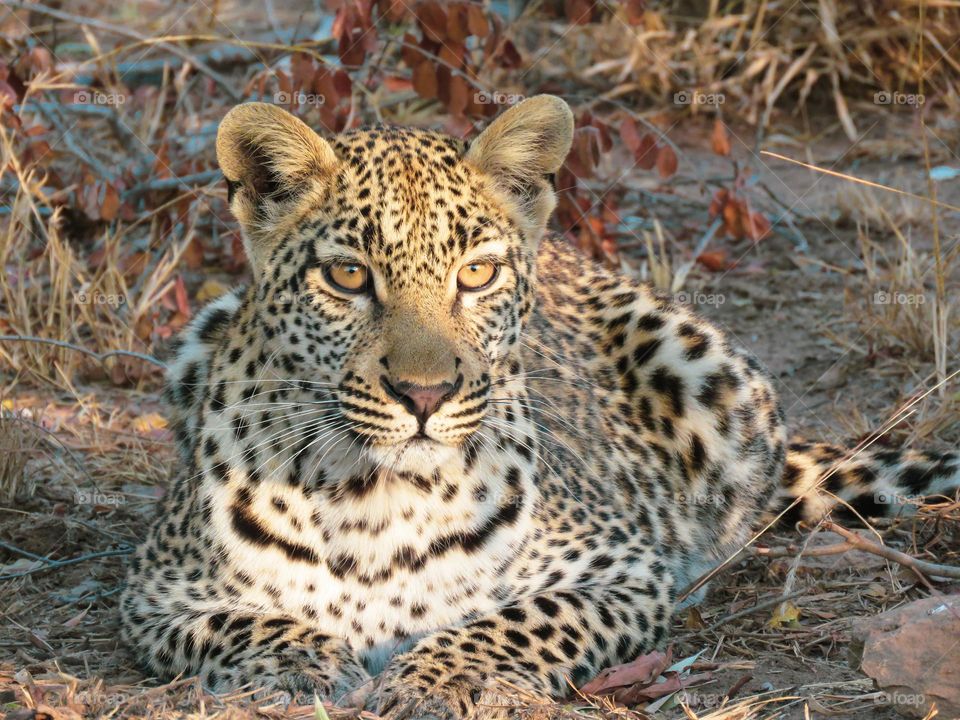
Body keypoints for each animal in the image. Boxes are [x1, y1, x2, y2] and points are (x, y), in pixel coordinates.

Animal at [120, 95, 960, 719]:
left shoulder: (624, 574)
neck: (376, 498)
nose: (425, 394)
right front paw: (307, 662)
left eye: (477, 273)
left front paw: (440, 677)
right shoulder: (158, 596)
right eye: (349, 276)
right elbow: (248, 622)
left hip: (699, 362)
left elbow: (517, 621)